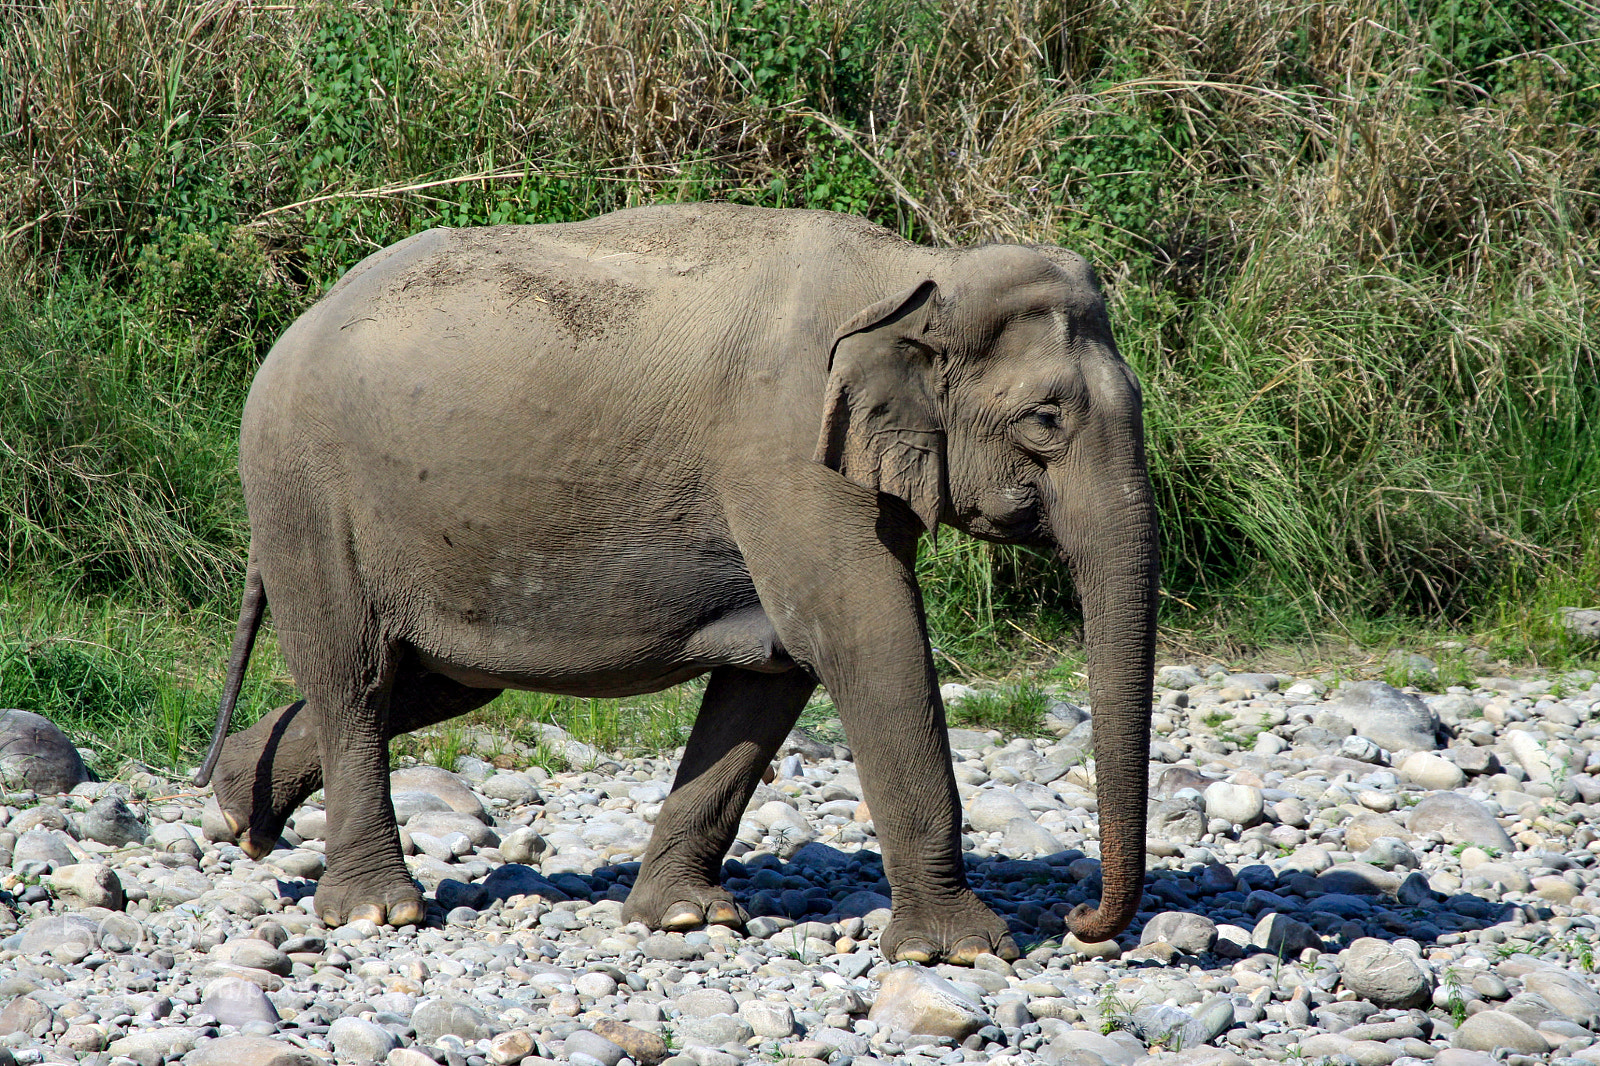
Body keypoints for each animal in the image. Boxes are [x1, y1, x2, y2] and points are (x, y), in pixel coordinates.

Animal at [194, 202, 1158, 964]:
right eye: (1045, 419)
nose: (1079, 918)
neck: (917, 272)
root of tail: (296, 325)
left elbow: (777, 665)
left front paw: (687, 920)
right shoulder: (783, 452)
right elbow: (863, 636)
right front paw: (963, 951)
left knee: (434, 682)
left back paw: (240, 810)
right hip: (304, 493)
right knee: (355, 675)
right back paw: (375, 910)